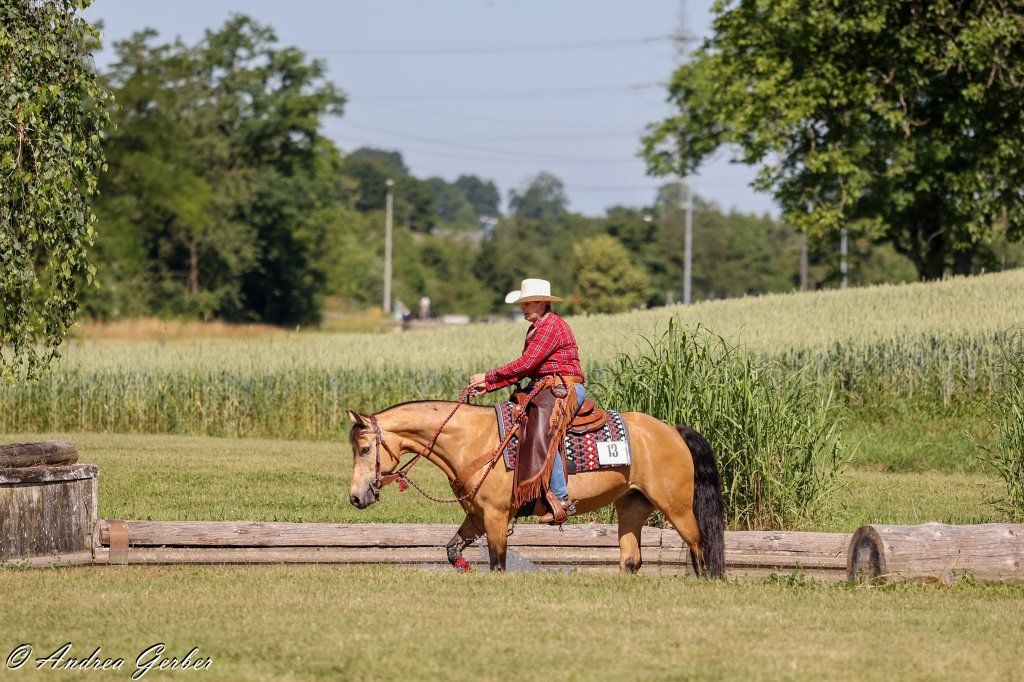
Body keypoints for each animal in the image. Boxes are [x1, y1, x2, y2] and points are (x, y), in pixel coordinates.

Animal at [346, 400, 725, 576]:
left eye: (364, 449)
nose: (355, 497)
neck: (473, 441)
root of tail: (673, 430)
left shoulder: (497, 517)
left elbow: (498, 562)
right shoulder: (477, 516)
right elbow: (453, 550)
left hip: (676, 505)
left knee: (701, 545)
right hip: (632, 505)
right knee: (631, 559)